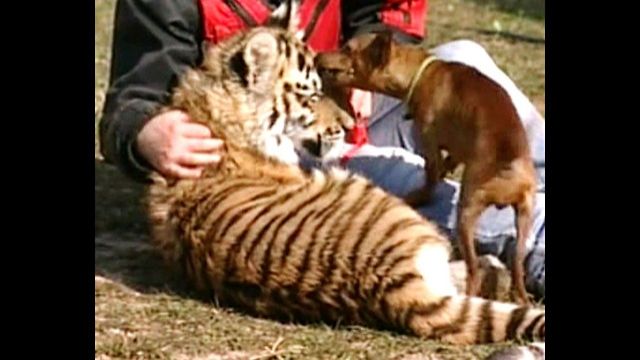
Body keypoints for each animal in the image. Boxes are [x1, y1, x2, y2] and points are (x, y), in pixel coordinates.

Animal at [318, 32, 536, 306]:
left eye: (347, 48)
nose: (317, 55)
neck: (420, 74)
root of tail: (511, 169)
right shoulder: (455, 150)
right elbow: (445, 166)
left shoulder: (429, 146)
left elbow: (430, 182)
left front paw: (415, 196)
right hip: (523, 223)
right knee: (517, 268)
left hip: (466, 213)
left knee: (474, 272)